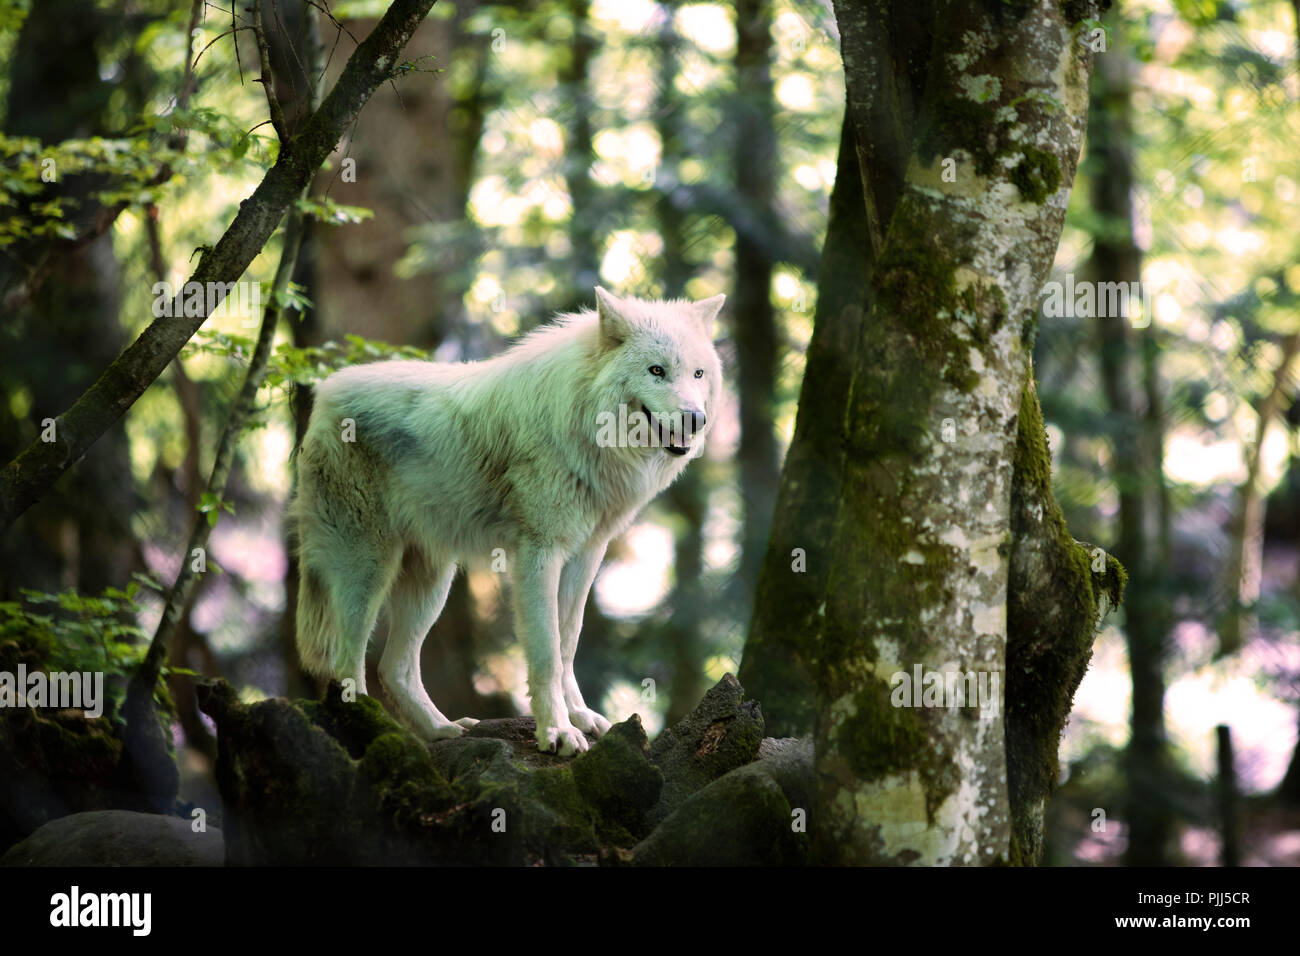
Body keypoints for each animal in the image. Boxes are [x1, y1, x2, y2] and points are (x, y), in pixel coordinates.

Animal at [288, 283, 728, 754]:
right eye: (656, 370)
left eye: (698, 374)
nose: (696, 419)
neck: (583, 423)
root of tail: (326, 392)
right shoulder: (539, 553)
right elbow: (546, 653)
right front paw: (557, 732)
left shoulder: (586, 555)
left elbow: (567, 645)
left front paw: (579, 717)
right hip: (367, 570)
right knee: (344, 668)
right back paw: (373, 734)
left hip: (432, 583)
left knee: (394, 669)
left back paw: (442, 730)